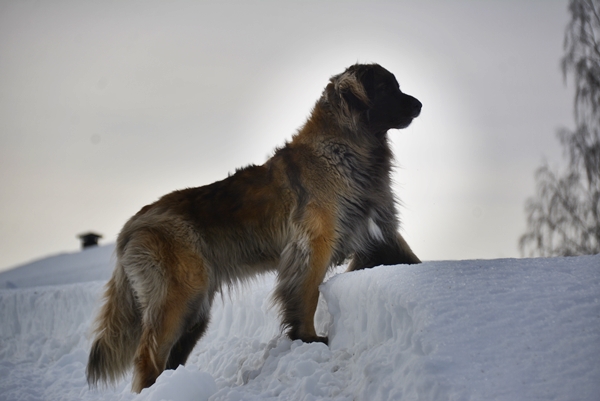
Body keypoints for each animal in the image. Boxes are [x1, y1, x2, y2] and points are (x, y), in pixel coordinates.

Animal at [86, 62, 422, 390]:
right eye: (385, 87)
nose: (419, 104)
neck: (343, 146)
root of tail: (132, 224)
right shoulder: (313, 243)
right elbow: (308, 294)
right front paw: (309, 339)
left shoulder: (377, 231)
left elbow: (409, 255)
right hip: (178, 295)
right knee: (148, 355)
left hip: (195, 307)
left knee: (170, 356)